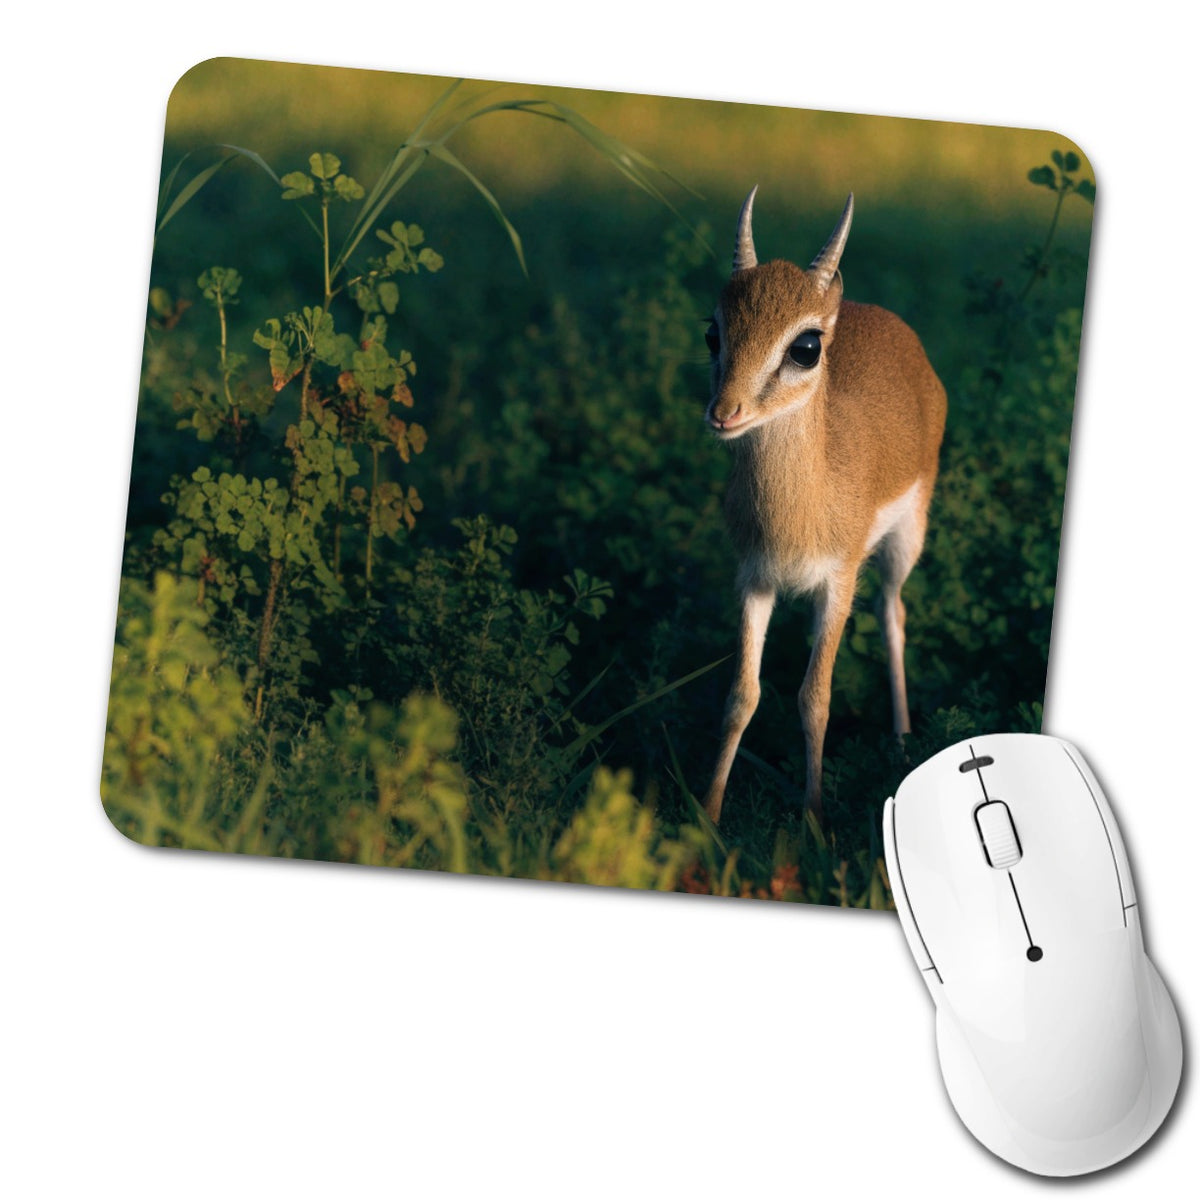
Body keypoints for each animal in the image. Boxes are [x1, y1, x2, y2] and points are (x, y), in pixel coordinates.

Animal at [702, 188, 947, 825]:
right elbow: (742, 695)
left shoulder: (838, 581)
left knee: (893, 612)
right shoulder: (754, 579)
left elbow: (815, 698)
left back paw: (901, 741)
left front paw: (813, 819)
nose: (724, 413)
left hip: (904, 543)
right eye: (713, 332)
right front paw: (706, 814)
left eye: (806, 346)